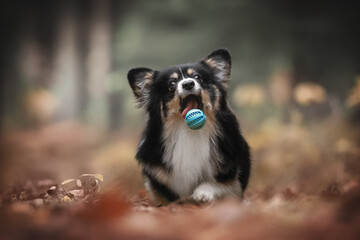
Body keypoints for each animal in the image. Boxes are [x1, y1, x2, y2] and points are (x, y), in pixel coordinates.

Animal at [127, 48, 250, 206]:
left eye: (197, 77)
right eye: (172, 83)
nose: (188, 84)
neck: (188, 131)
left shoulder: (231, 178)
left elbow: (215, 184)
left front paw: (202, 194)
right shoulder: (156, 177)